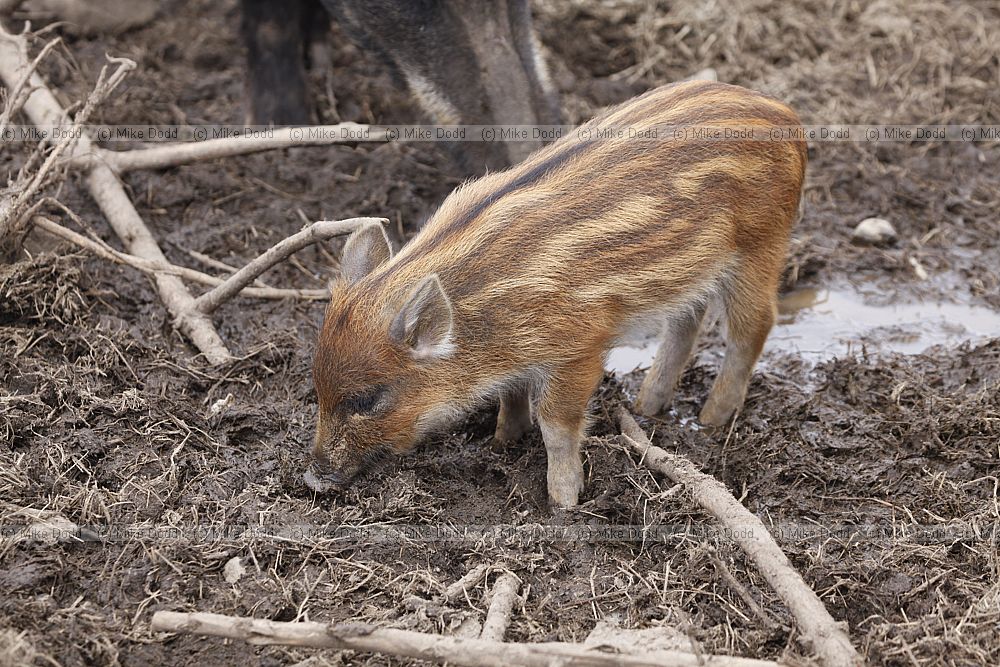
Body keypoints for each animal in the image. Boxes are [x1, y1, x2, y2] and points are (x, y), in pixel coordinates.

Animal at [306, 80, 807, 507]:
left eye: (368, 400)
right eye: (318, 390)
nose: (312, 478)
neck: (482, 308)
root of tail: (787, 114)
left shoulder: (580, 344)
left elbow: (556, 423)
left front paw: (563, 502)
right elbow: (512, 395)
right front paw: (502, 443)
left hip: (762, 245)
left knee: (753, 327)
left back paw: (709, 420)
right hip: (691, 273)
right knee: (688, 322)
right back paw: (645, 408)